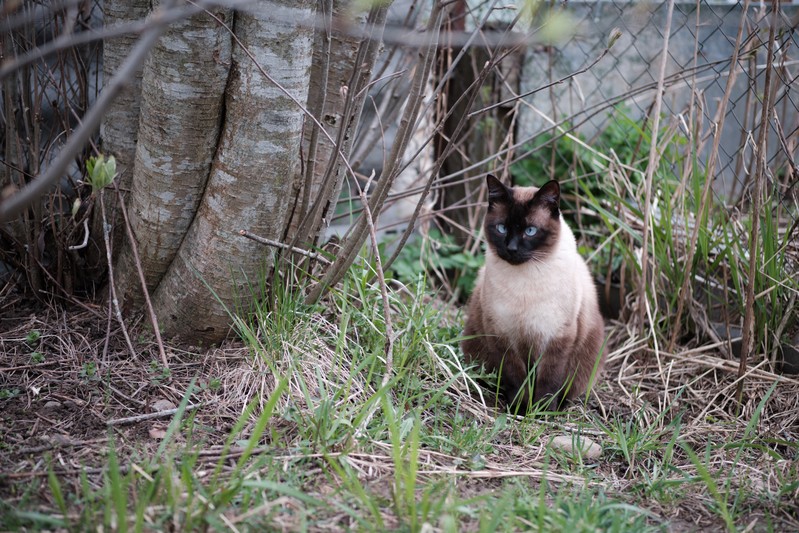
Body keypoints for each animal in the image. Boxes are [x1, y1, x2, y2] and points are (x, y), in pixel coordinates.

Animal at [462, 175, 608, 412]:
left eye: (530, 231)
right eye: (502, 228)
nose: (511, 249)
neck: (525, 282)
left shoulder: (556, 338)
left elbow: (549, 380)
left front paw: (541, 412)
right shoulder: (503, 336)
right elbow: (517, 378)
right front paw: (520, 410)